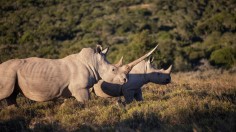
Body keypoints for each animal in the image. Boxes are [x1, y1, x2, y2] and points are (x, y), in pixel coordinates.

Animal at [0, 44, 159, 106]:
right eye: (114, 70)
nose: (126, 79)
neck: (93, 62)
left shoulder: (71, 90)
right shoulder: (80, 88)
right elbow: (85, 103)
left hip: (12, 73)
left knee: (11, 96)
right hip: (7, 71)